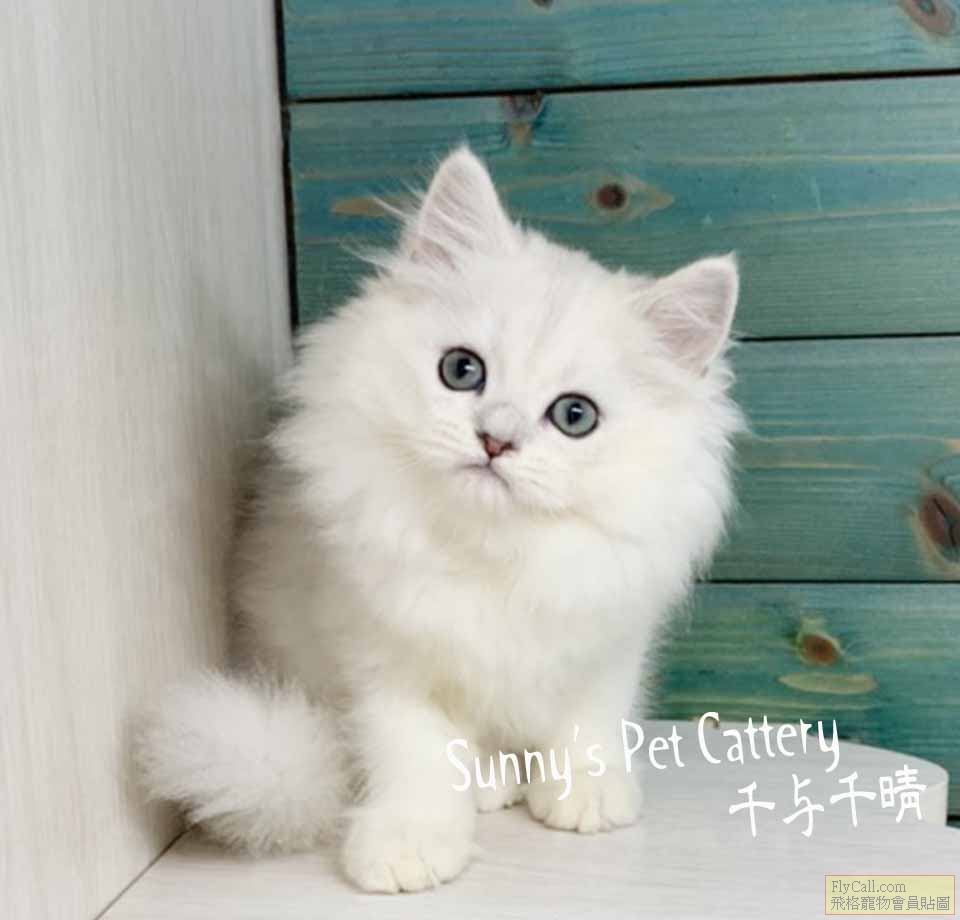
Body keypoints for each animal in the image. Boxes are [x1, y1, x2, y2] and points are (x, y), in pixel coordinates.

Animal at [138, 147, 744, 893]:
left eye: (575, 416)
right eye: (462, 371)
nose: (496, 439)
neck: (490, 553)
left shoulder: (607, 635)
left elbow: (589, 719)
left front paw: (586, 792)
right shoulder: (380, 658)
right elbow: (417, 756)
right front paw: (410, 843)